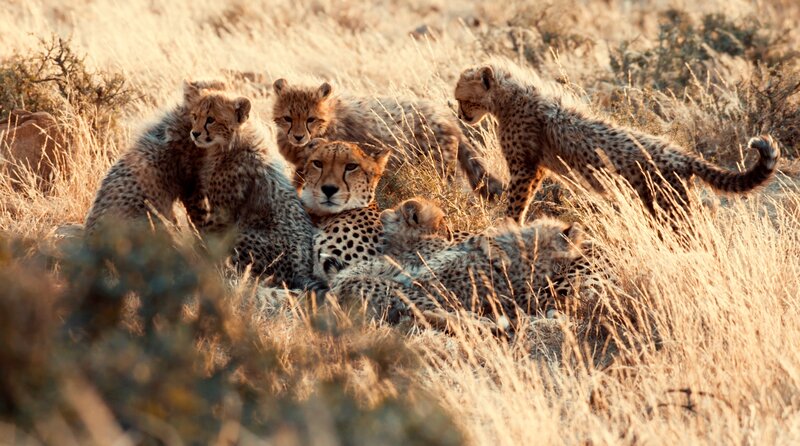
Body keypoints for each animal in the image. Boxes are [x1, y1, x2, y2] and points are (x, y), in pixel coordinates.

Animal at [271, 78, 504, 199]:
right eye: (288, 118)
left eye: (310, 119)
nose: (299, 136)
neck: (328, 120)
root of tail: (448, 118)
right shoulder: (304, 166)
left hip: (439, 166)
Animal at [453, 58, 781, 224]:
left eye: (462, 99)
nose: (460, 116)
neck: (508, 97)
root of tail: (681, 154)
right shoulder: (537, 169)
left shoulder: (525, 168)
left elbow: (515, 203)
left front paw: (504, 226)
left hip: (669, 208)